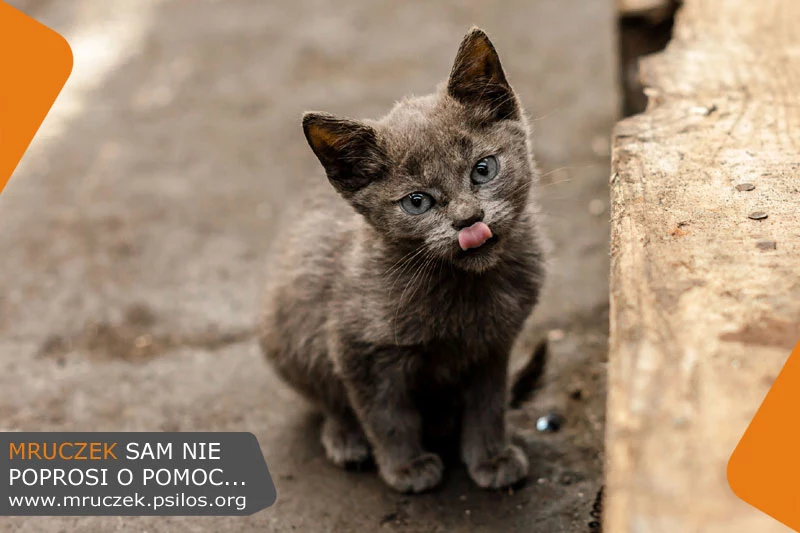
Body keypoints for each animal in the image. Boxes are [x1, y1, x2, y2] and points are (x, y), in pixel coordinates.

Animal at [260, 27, 548, 492]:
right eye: (417, 202)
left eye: (483, 169)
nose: (469, 220)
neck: (464, 289)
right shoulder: (358, 349)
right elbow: (386, 415)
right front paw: (406, 468)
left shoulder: (493, 346)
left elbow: (488, 405)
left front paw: (490, 457)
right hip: (286, 333)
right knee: (328, 399)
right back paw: (346, 438)